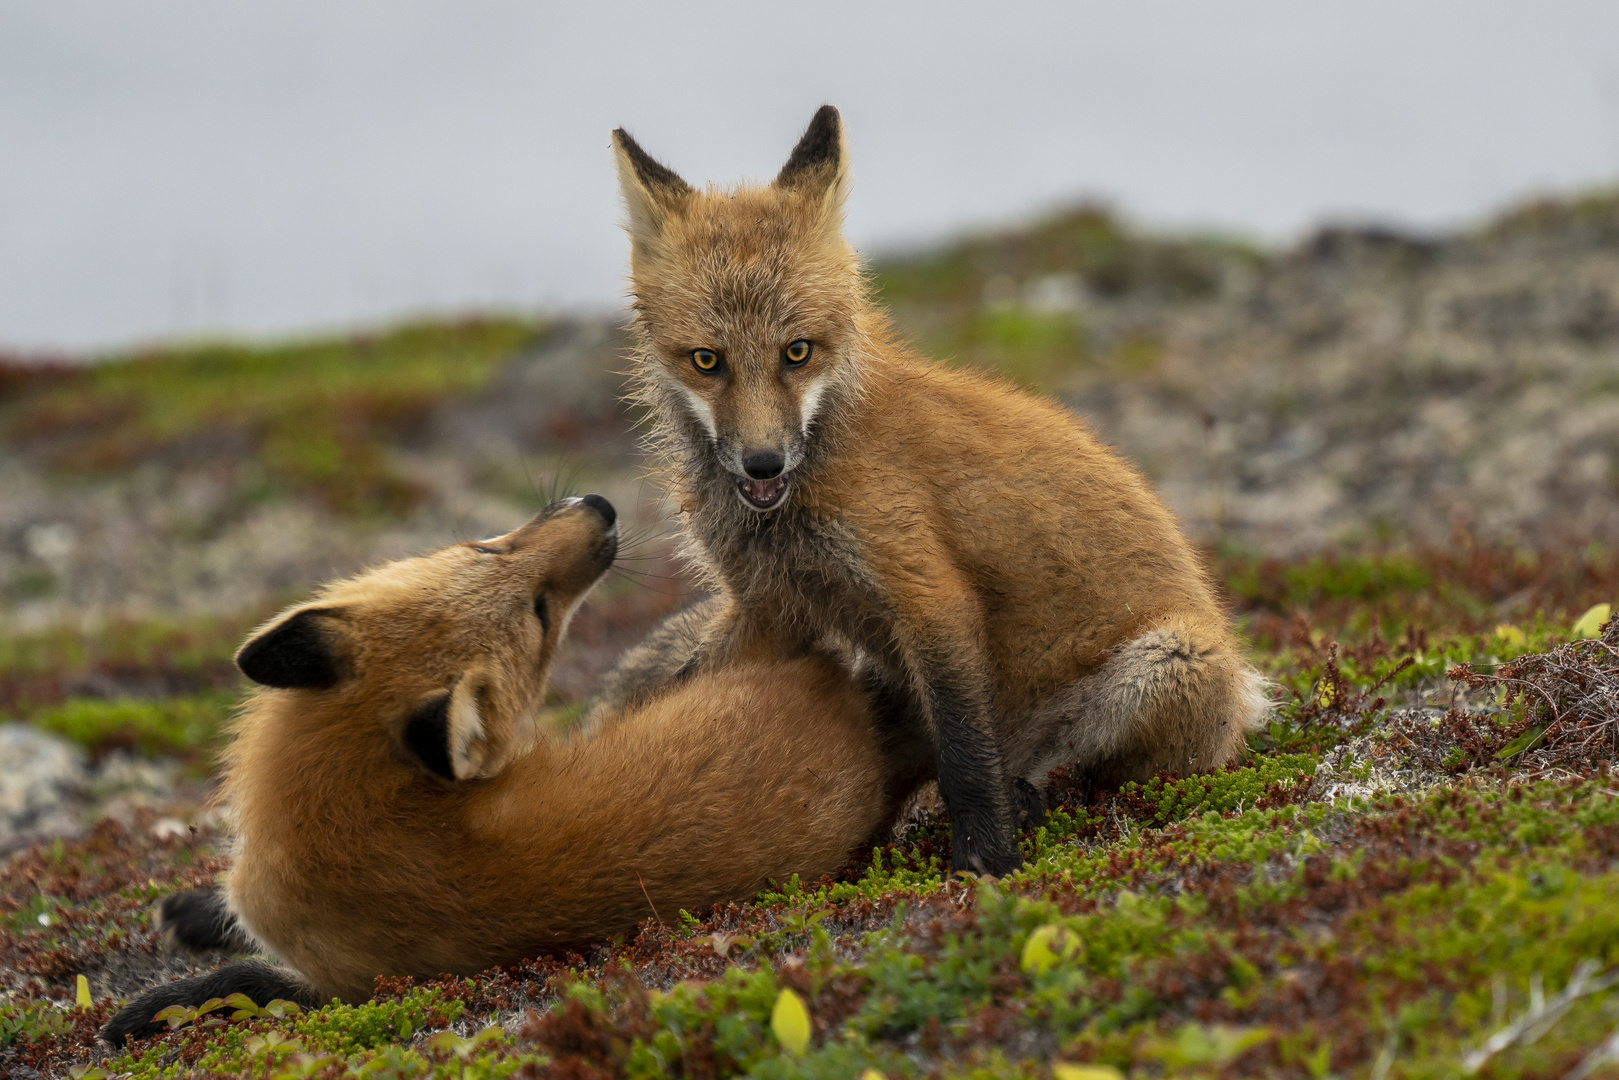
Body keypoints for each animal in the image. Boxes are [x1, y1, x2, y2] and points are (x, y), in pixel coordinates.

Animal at [97, 498, 900, 1049]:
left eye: (537, 607)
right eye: (483, 546)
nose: (601, 508)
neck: (341, 809)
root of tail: (835, 682)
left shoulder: (359, 988)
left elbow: (241, 982)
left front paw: (146, 1009)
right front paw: (193, 913)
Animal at [602, 103, 1269, 880]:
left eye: (797, 352)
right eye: (706, 361)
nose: (763, 464)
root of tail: (1246, 709)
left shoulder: (928, 595)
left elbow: (965, 762)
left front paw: (986, 859)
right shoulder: (770, 607)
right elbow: (685, 689)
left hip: (1171, 661)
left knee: (1084, 772)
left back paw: (1038, 799)